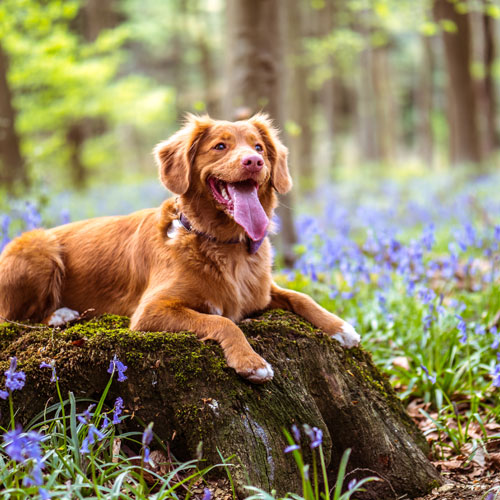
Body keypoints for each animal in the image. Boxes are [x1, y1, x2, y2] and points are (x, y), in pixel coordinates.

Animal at [0, 113, 360, 382]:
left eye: (259, 146)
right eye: (220, 146)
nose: (254, 161)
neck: (223, 245)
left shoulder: (259, 292)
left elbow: (301, 296)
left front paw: (340, 327)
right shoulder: (149, 312)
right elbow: (223, 321)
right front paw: (250, 361)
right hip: (38, 247)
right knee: (14, 317)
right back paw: (60, 315)